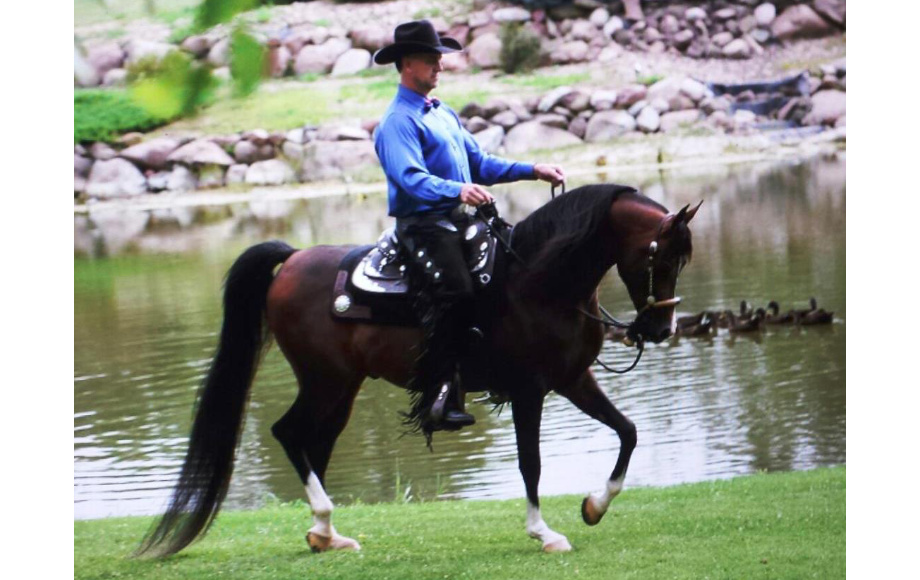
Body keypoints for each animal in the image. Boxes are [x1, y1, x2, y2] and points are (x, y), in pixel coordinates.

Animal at [136, 184, 701, 557]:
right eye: (660, 256)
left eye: (682, 260)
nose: (660, 328)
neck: (539, 282)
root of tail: (292, 258)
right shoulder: (529, 390)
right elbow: (531, 464)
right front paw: (544, 533)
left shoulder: (572, 379)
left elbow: (628, 432)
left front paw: (595, 506)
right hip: (324, 381)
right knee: (288, 433)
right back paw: (324, 523)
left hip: (341, 388)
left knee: (313, 442)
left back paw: (325, 533)